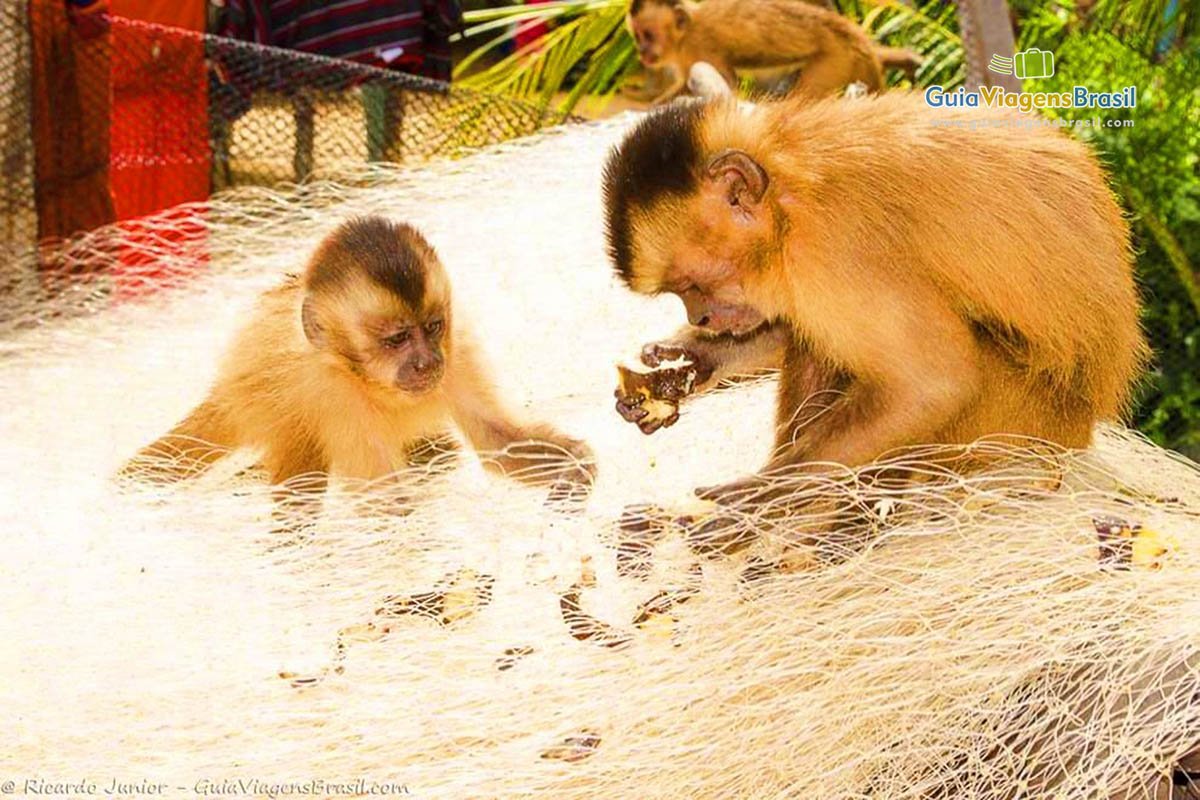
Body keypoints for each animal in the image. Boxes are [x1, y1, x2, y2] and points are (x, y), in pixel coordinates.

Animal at [119, 215, 592, 525]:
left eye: (432, 327)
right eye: (397, 339)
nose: (426, 362)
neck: (373, 383)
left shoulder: (458, 353)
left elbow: (497, 443)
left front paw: (577, 470)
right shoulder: (334, 394)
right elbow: (388, 506)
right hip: (265, 405)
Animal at [604, 92, 1147, 520]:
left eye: (695, 285)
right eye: (683, 294)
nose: (699, 317)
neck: (787, 186)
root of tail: (1084, 426)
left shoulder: (832, 250)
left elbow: (933, 383)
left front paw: (766, 495)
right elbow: (787, 323)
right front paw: (689, 363)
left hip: (1027, 422)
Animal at [624, 0, 921, 104]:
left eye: (648, 35)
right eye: (637, 36)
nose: (642, 50)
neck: (684, 33)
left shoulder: (699, 46)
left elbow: (727, 85)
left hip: (838, 59)